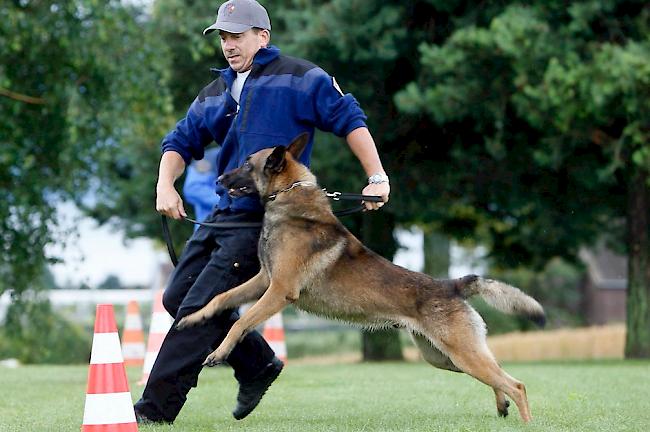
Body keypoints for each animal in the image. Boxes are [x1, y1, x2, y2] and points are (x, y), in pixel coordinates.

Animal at [176, 132, 540, 422]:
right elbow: (221, 298)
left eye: (246, 164)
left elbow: (239, 322)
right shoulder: (264, 281)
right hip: (447, 358)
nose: (218, 179)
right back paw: (501, 405)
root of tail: (451, 285)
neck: (290, 198)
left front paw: (217, 353)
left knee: (518, 384)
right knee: (499, 375)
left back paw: (523, 419)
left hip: (461, 354)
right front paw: (192, 317)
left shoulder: (278, 291)